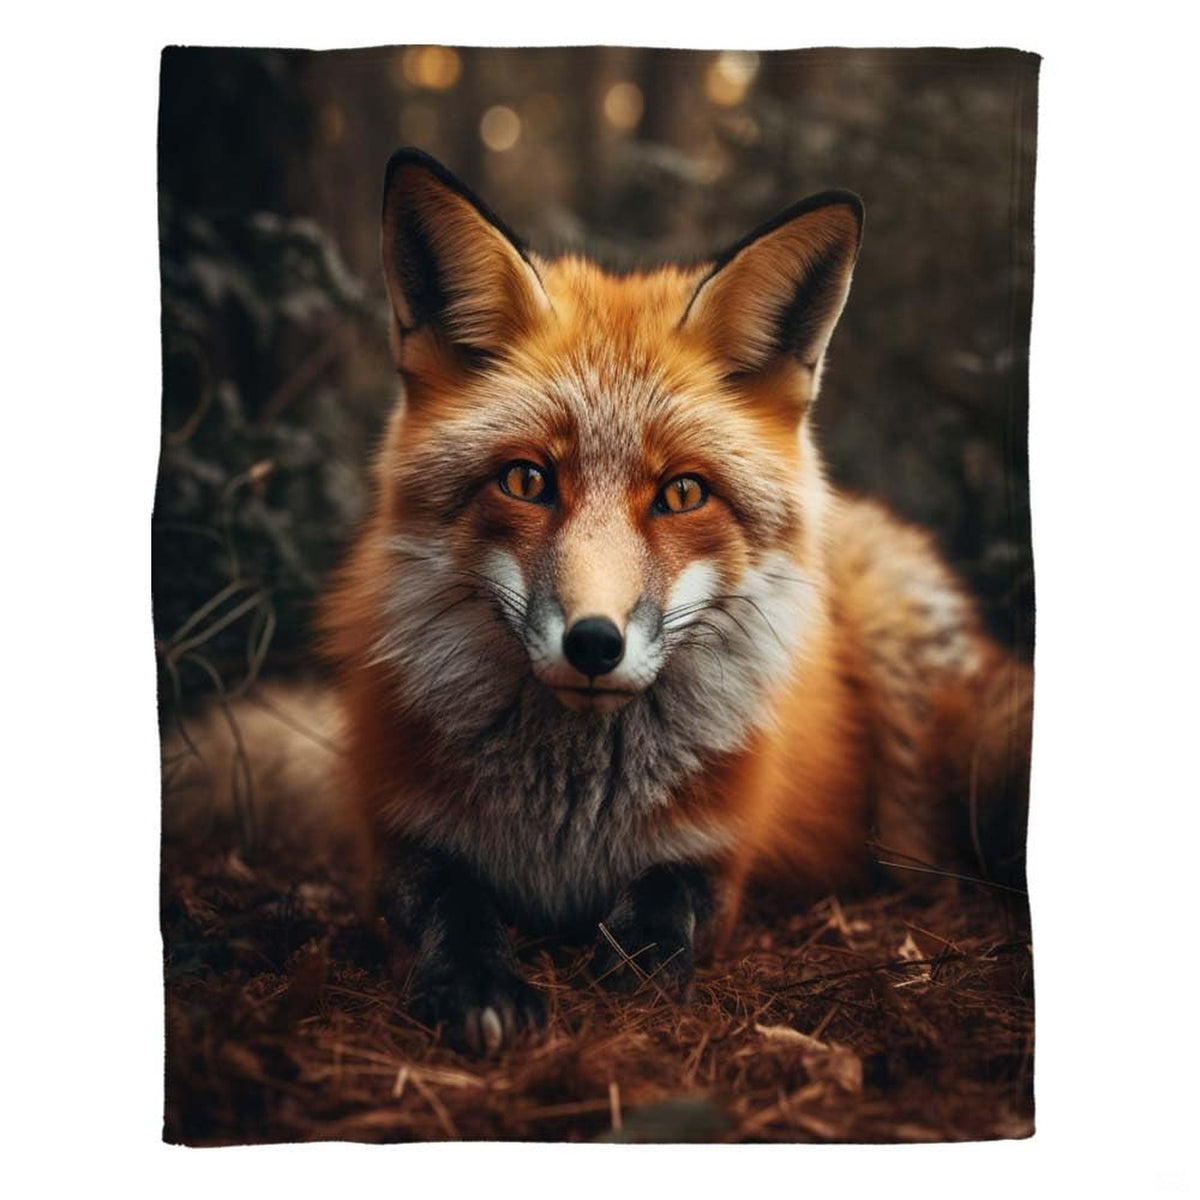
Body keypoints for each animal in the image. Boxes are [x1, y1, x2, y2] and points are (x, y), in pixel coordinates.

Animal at [166, 148, 1032, 1055]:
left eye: (683, 493)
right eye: (526, 481)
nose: (592, 644)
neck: (569, 824)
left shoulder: (719, 852)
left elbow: (667, 902)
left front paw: (637, 967)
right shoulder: (397, 839)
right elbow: (452, 903)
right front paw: (477, 982)